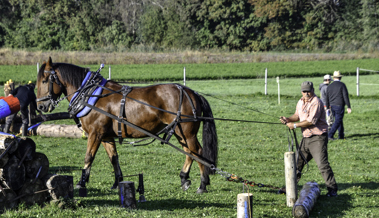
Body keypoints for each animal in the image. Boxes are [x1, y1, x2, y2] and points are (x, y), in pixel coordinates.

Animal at [37, 57, 218, 193]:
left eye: (45, 81)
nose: (41, 106)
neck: (90, 94)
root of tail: (191, 93)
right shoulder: (106, 136)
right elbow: (114, 158)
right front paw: (117, 182)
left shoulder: (95, 133)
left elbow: (89, 156)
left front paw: (81, 183)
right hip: (180, 132)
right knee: (190, 153)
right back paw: (184, 178)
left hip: (187, 133)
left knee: (198, 152)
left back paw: (202, 184)